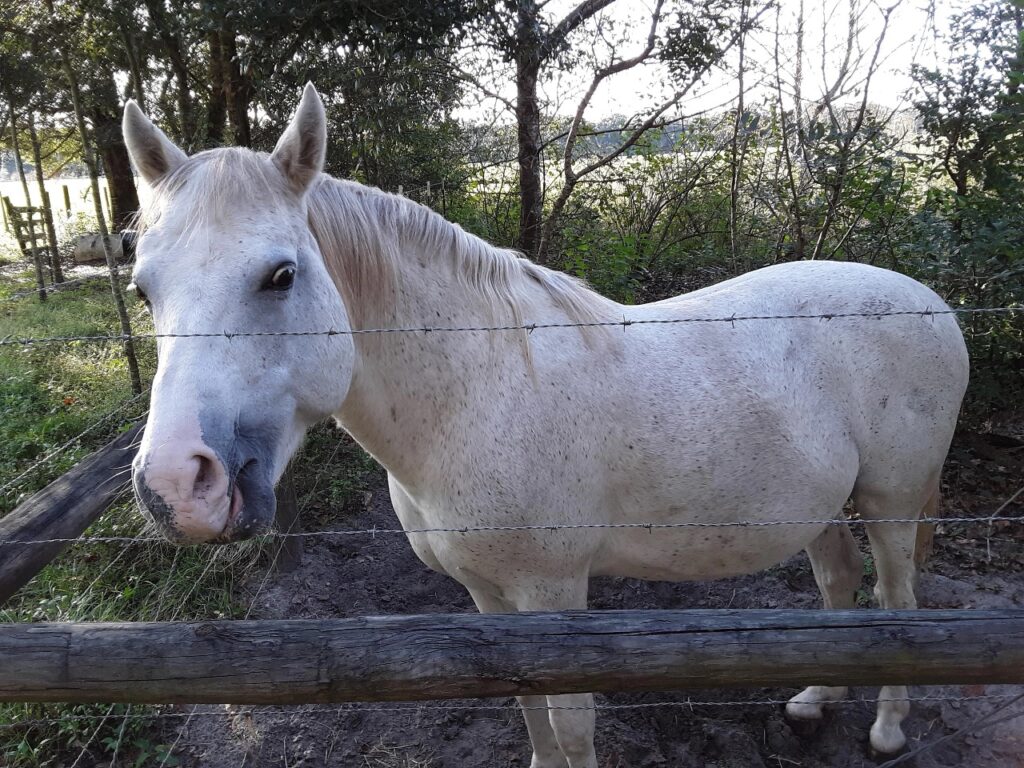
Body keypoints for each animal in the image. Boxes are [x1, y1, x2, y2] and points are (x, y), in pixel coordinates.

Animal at [124, 84, 969, 767]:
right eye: (142, 289)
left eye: (281, 275)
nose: (177, 486)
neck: (474, 391)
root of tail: (930, 301)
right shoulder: (487, 597)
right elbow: (528, 706)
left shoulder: (552, 591)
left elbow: (570, 719)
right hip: (820, 505)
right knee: (839, 584)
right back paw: (813, 701)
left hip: (891, 500)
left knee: (898, 602)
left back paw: (886, 731)